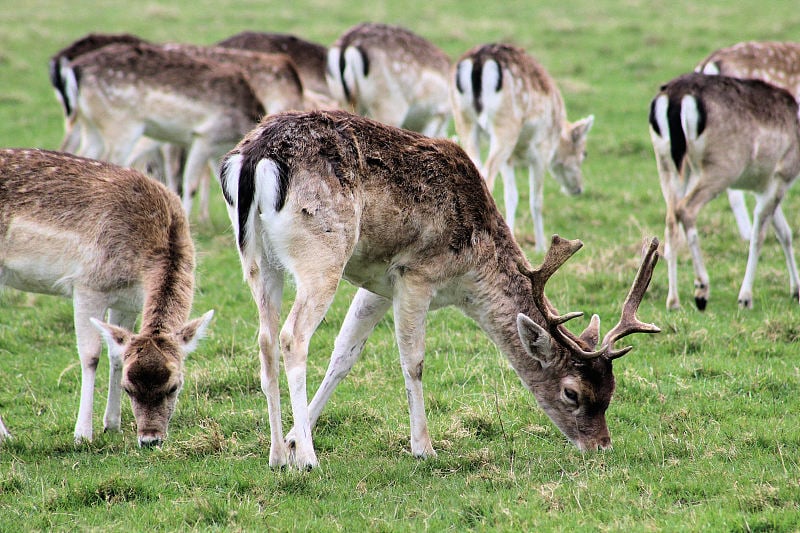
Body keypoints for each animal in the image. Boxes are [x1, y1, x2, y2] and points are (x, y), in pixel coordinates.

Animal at [0, 149, 214, 444]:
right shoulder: (87, 286)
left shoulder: (128, 301)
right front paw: (82, 434)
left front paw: (111, 424)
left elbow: (116, 355)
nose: (150, 440)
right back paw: (6, 435)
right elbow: (91, 356)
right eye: (129, 389)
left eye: (174, 386)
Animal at [61, 40, 266, 220]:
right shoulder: (205, 136)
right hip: (121, 125)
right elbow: (190, 184)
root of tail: (75, 70)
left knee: (85, 152)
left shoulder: (219, 151)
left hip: (90, 125)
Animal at [216, 109, 660, 470]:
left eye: (611, 389)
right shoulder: (416, 275)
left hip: (258, 259)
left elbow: (345, 354)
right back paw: (309, 460)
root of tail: (253, 157)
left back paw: (277, 455)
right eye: (572, 393)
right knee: (293, 336)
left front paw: (295, 437)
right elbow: (413, 361)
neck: (468, 277)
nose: (601, 445)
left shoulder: (379, 285)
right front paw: (424, 448)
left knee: (265, 339)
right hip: (322, 254)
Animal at [450, 43, 592, 251]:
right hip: (505, 125)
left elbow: (512, 196)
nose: (578, 189)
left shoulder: (509, 160)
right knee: (487, 172)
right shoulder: (541, 152)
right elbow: (536, 199)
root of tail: (478, 61)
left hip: (463, 119)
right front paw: (540, 245)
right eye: (584, 153)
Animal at [648, 72, 800, 310]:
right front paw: (745, 298)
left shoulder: (764, 186)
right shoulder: (781, 177)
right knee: (686, 209)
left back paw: (673, 301)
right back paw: (701, 288)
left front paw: (796, 290)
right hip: (721, 167)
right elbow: (759, 236)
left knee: (671, 219)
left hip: (667, 164)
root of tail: (676, 96)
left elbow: (784, 233)